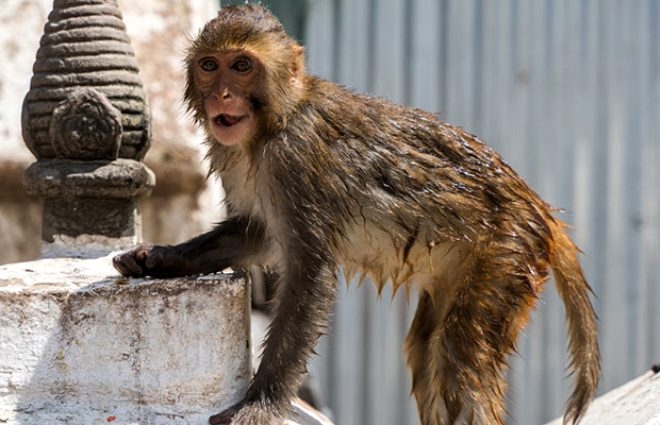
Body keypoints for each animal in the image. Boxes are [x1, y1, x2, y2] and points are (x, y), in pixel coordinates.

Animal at [112, 4, 600, 424]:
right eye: (211, 66)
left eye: (243, 66)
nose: (223, 95)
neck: (274, 123)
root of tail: (536, 206)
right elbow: (257, 235)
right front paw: (161, 257)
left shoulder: (295, 157)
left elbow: (309, 273)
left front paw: (262, 402)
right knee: (427, 349)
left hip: (506, 251)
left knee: (460, 355)